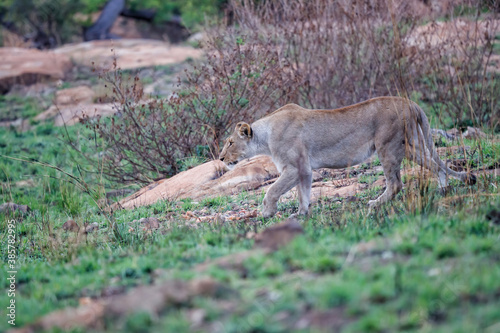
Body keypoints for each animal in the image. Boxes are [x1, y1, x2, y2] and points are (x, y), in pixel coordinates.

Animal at [220, 96, 476, 217]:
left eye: (230, 142)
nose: (221, 159)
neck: (265, 135)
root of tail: (410, 102)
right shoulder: (305, 169)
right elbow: (303, 193)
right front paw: (301, 213)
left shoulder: (293, 167)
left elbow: (272, 190)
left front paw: (267, 212)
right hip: (409, 144)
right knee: (435, 163)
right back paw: (444, 188)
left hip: (387, 146)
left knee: (395, 183)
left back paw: (375, 203)